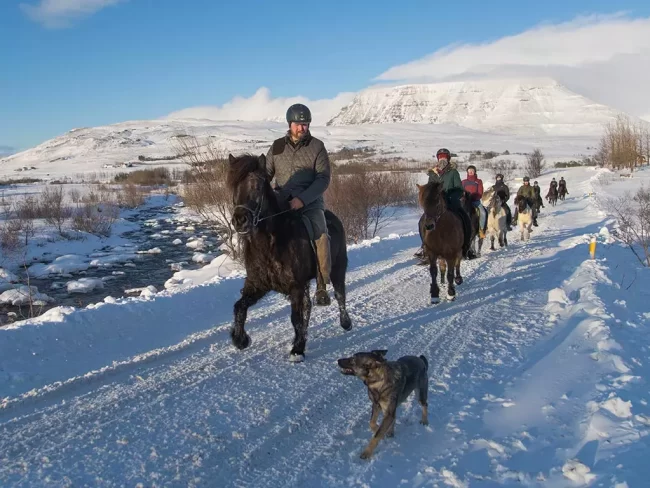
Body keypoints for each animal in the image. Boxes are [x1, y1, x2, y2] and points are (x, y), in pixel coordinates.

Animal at [227, 153, 351, 362]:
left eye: (257, 186)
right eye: (232, 186)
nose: (240, 220)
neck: (270, 244)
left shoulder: (296, 286)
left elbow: (295, 318)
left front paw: (297, 350)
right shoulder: (257, 285)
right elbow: (239, 307)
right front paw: (240, 339)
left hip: (337, 268)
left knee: (340, 294)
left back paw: (345, 322)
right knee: (308, 306)